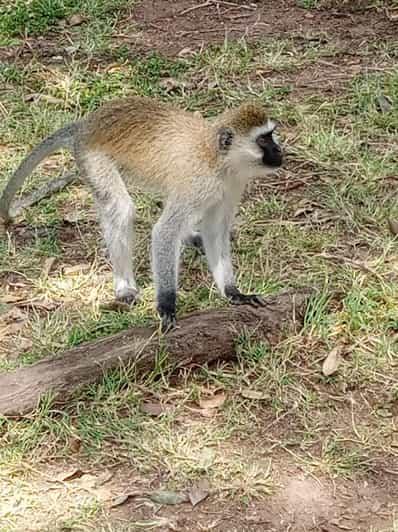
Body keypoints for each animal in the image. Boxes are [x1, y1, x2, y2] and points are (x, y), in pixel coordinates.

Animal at [0, 95, 282, 328]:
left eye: (271, 135)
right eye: (263, 140)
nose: (280, 150)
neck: (219, 160)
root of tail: (87, 124)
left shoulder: (232, 185)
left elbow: (214, 231)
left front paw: (233, 292)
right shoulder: (197, 184)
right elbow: (164, 233)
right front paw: (167, 304)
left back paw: (190, 237)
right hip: (93, 160)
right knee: (120, 209)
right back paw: (124, 287)